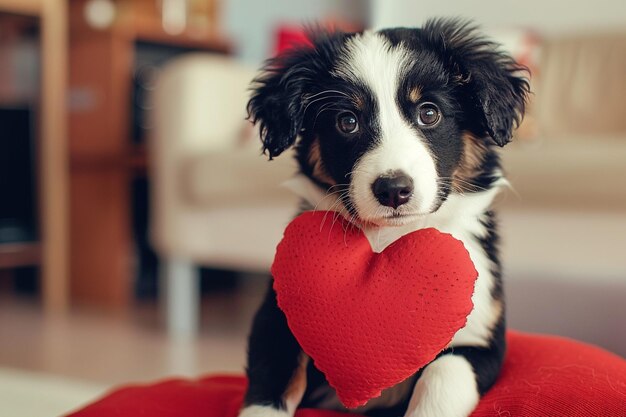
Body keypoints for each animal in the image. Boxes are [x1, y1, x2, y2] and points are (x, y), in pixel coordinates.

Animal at [239, 17, 528, 416]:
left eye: (429, 113)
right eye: (347, 121)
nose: (393, 189)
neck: (387, 240)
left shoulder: (481, 335)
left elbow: (442, 375)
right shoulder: (280, 314)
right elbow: (273, 380)